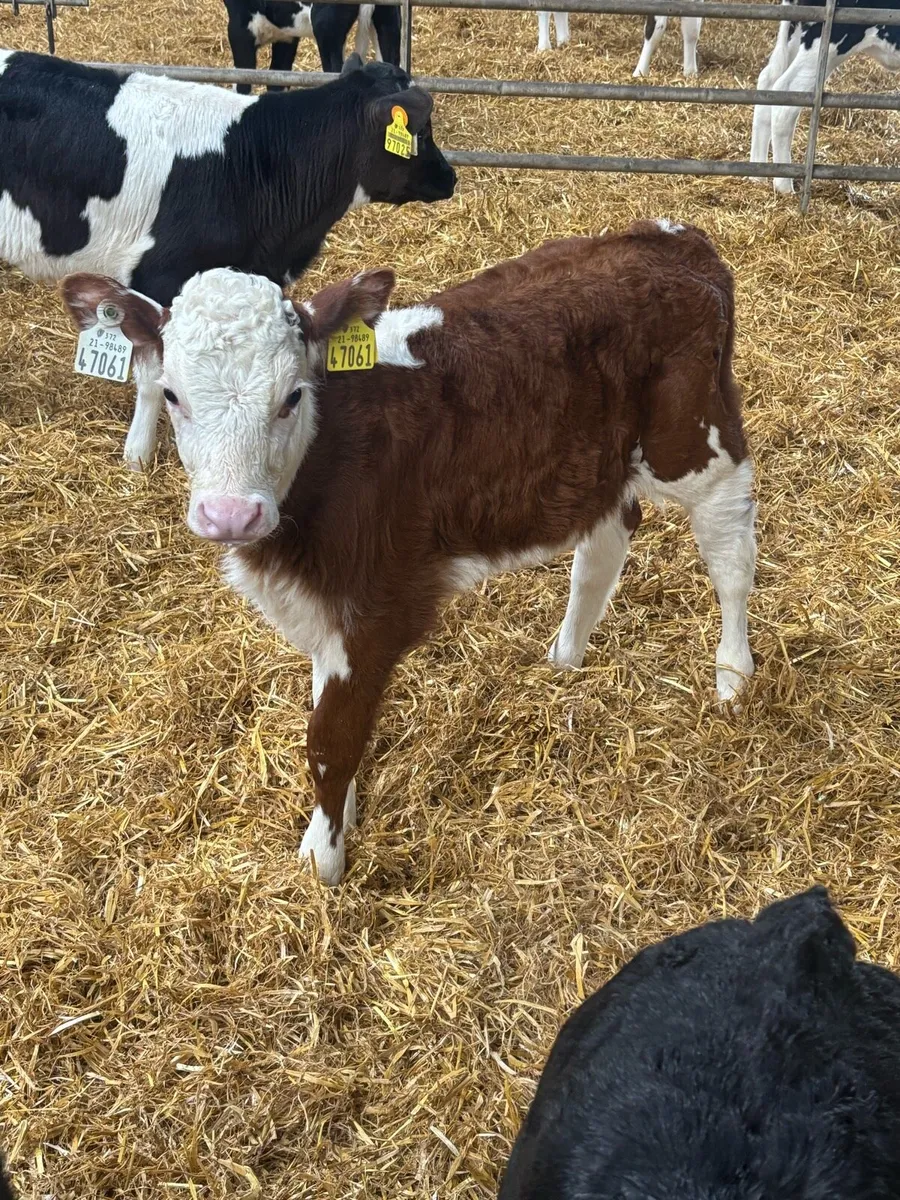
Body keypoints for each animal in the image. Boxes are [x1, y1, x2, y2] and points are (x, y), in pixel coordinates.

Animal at [61, 220, 757, 885]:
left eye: (292, 396)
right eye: (171, 395)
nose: (229, 514)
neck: (329, 453)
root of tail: (677, 240)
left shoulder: (377, 607)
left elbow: (330, 740)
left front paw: (323, 862)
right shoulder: (325, 610)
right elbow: (327, 711)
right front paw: (337, 821)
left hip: (699, 442)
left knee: (731, 557)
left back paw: (733, 677)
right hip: (598, 460)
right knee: (608, 539)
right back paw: (565, 658)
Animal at [223, 0, 401, 92]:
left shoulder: (239, 27)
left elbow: (242, 80)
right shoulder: (287, 35)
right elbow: (277, 79)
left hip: (326, 28)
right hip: (388, 22)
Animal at [751, 0, 900, 193]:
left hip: (794, 34)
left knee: (768, 82)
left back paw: (757, 176)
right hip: (827, 44)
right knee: (786, 95)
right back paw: (784, 187)